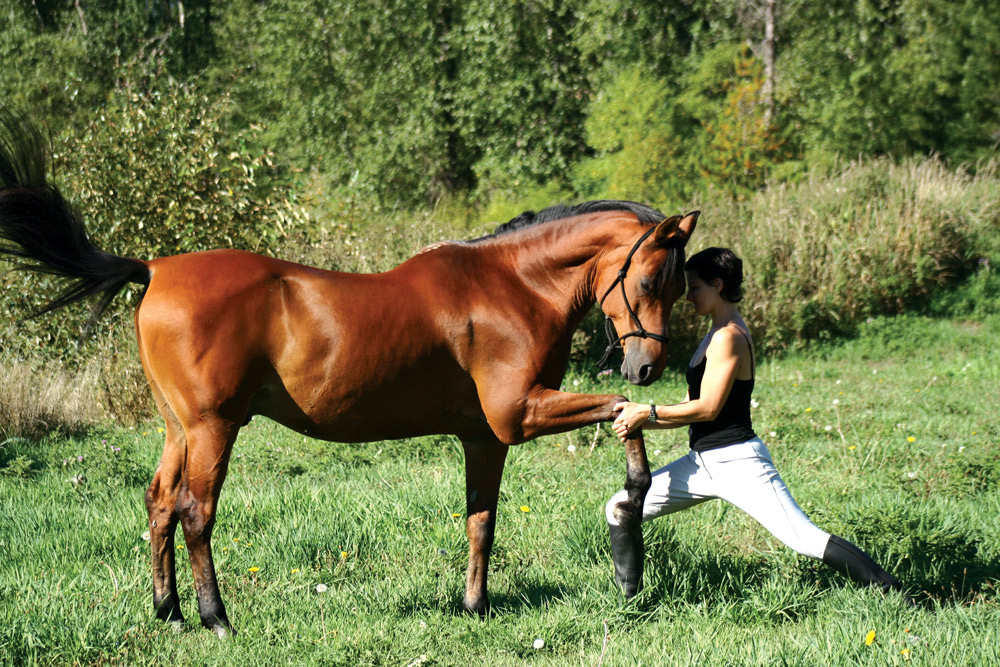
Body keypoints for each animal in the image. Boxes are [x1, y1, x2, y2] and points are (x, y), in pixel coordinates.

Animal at [0, 111, 696, 636]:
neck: (510, 286)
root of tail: (153, 268)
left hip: (178, 428)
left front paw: (475, 607)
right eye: (650, 280)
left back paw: (168, 611)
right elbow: (620, 412)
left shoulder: (484, 436)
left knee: (160, 504)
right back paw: (215, 618)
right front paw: (632, 515)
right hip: (212, 428)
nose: (647, 365)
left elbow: (482, 520)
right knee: (196, 513)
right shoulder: (519, 414)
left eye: (679, 284)